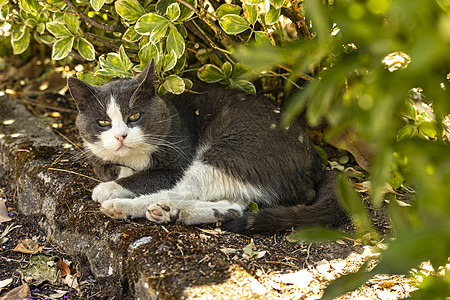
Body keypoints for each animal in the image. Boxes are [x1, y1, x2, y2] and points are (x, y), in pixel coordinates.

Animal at [67, 60, 348, 234]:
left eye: (134, 116)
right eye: (103, 122)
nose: (121, 136)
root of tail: (317, 162)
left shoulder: (177, 159)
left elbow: (147, 178)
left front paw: (111, 187)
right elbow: (111, 168)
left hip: (233, 149)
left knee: (183, 190)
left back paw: (130, 206)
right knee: (237, 203)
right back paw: (184, 212)